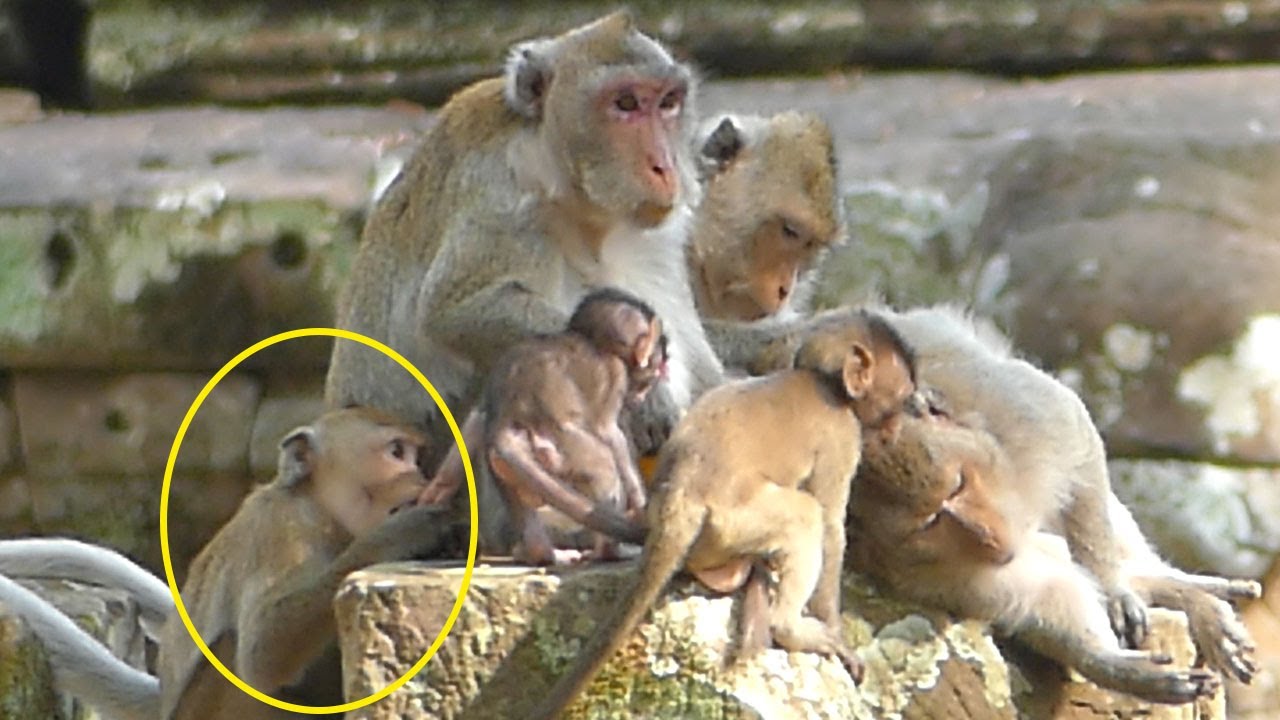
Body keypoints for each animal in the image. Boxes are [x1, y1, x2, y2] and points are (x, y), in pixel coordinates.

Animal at [0, 407, 453, 720]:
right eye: (397, 453)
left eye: (416, 458)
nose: (420, 480)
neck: (318, 509)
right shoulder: (282, 532)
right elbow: (262, 654)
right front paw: (400, 534)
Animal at [324, 12, 728, 477]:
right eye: (625, 103)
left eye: (668, 103)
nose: (665, 166)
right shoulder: (505, 205)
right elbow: (454, 315)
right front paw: (639, 383)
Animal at [418, 288, 666, 565]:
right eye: (652, 373)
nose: (641, 398)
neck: (591, 338)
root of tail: (505, 430)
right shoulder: (616, 375)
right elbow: (609, 433)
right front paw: (639, 500)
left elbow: (479, 416)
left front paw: (442, 484)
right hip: (564, 448)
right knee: (603, 467)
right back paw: (607, 551)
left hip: (507, 469)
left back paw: (541, 552)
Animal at [527, 310, 919, 720]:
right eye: (900, 401)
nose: (895, 430)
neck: (824, 381)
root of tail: (680, 498)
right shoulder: (843, 434)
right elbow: (829, 523)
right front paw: (837, 633)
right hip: (734, 522)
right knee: (805, 515)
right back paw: (788, 626)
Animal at [842, 312, 1262, 704]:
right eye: (930, 521)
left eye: (959, 483)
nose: (990, 539)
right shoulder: (918, 570)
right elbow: (1041, 593)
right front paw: (1112, 667)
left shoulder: (1024, 419)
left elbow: (1079, 441)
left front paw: (1114, 589)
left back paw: (1182, 588)